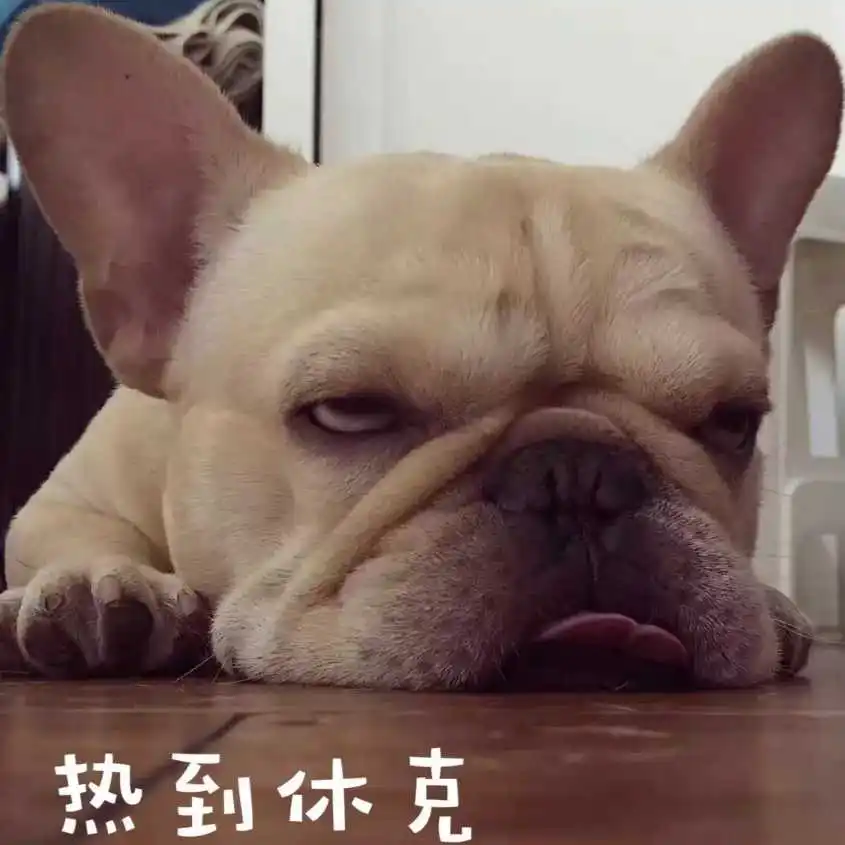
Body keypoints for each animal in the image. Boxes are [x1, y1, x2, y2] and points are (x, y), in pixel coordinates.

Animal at [0, 4, 839, 691]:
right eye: (349, 411)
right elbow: (70, 528)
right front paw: (100, 583)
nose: (578, 473)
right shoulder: (71, 492)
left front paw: (772, 602)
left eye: (731, 421)